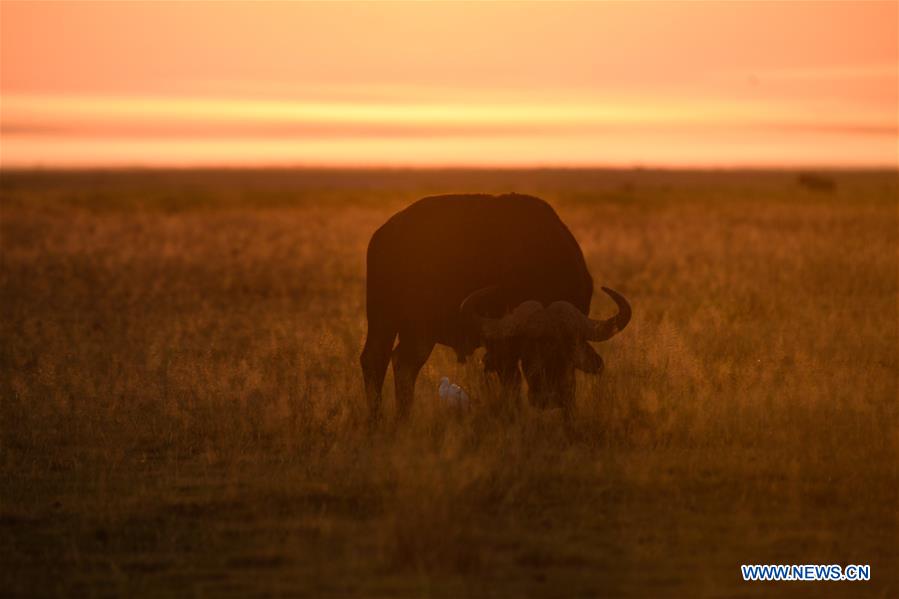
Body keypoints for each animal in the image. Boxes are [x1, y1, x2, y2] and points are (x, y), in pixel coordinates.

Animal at [360, 193, 632, 422]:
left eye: (568, 349)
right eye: (530, 349)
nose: (548, 398)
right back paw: (383, 419)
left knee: (391, 361)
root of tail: (383, 235)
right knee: (388, 361)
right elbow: (512, 384)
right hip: (399, 323)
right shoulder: (502, 348)